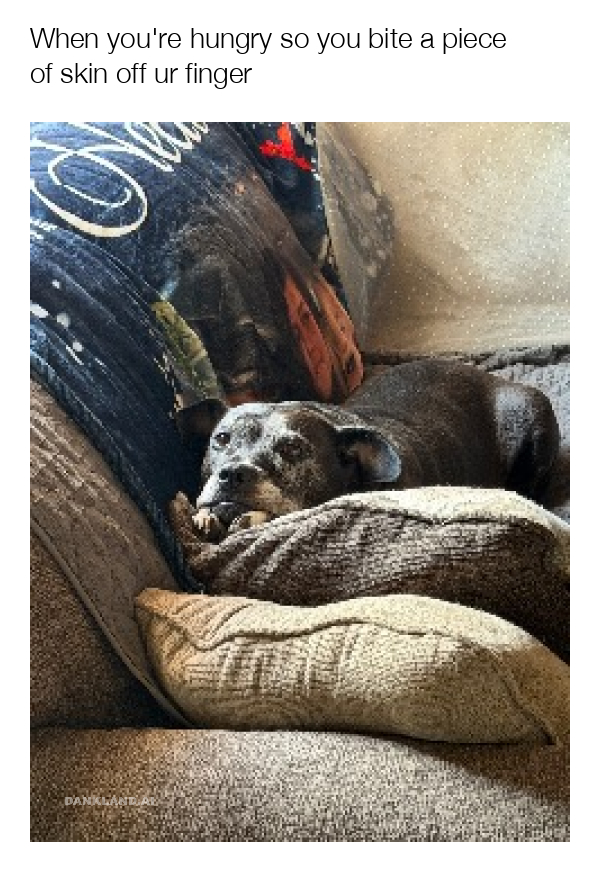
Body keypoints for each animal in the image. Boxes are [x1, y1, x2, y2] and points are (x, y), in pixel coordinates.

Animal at [179, 359, 559, 541]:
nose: (232, 474)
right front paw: (205, 516)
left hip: (535, 412)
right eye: (221, 438)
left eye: (294, 449)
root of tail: (495, 379)